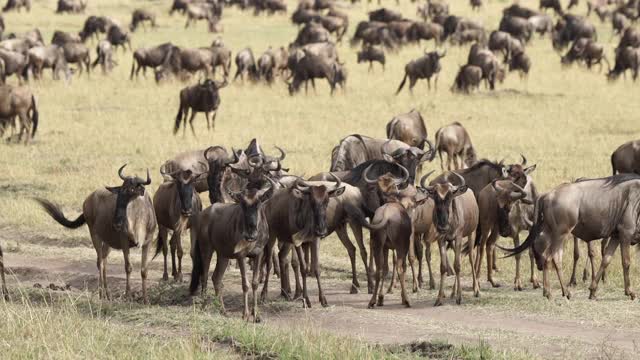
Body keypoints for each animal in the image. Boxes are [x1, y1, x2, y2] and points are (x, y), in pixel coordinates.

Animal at [35, 166, 157, 304]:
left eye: (131, 190)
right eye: (120, 192)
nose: (117, 223)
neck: (138, 220)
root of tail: (88, 200)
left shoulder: (147, 243)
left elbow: (144, 270)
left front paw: (146, 300)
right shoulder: (124, 242)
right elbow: (128, 267)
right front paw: (127, 296)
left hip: (107, 243)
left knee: (104, 261)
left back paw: (107, 294)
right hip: (95, 236)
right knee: (100, 263)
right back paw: (101, 294)